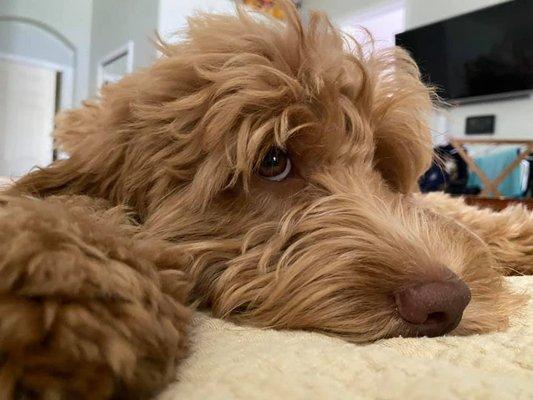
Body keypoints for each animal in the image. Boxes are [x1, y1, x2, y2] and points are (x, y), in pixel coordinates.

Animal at [0, 1, 528, 398]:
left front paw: (514, 232)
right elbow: (71, 212)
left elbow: (446, 208)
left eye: (381, 162)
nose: (447, 302)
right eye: (273, 162)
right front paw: (64, 286)